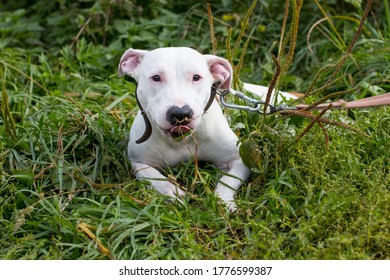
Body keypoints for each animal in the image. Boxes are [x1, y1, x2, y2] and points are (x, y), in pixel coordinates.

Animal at [118, 46, 250, 210]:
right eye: (156, 77)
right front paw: (172, 192)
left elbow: (228, 180)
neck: (180, 141)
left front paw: (222, 201)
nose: (180, 113)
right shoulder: (138, 161)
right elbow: (153, 176)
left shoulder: (239, 159)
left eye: (196, 77)